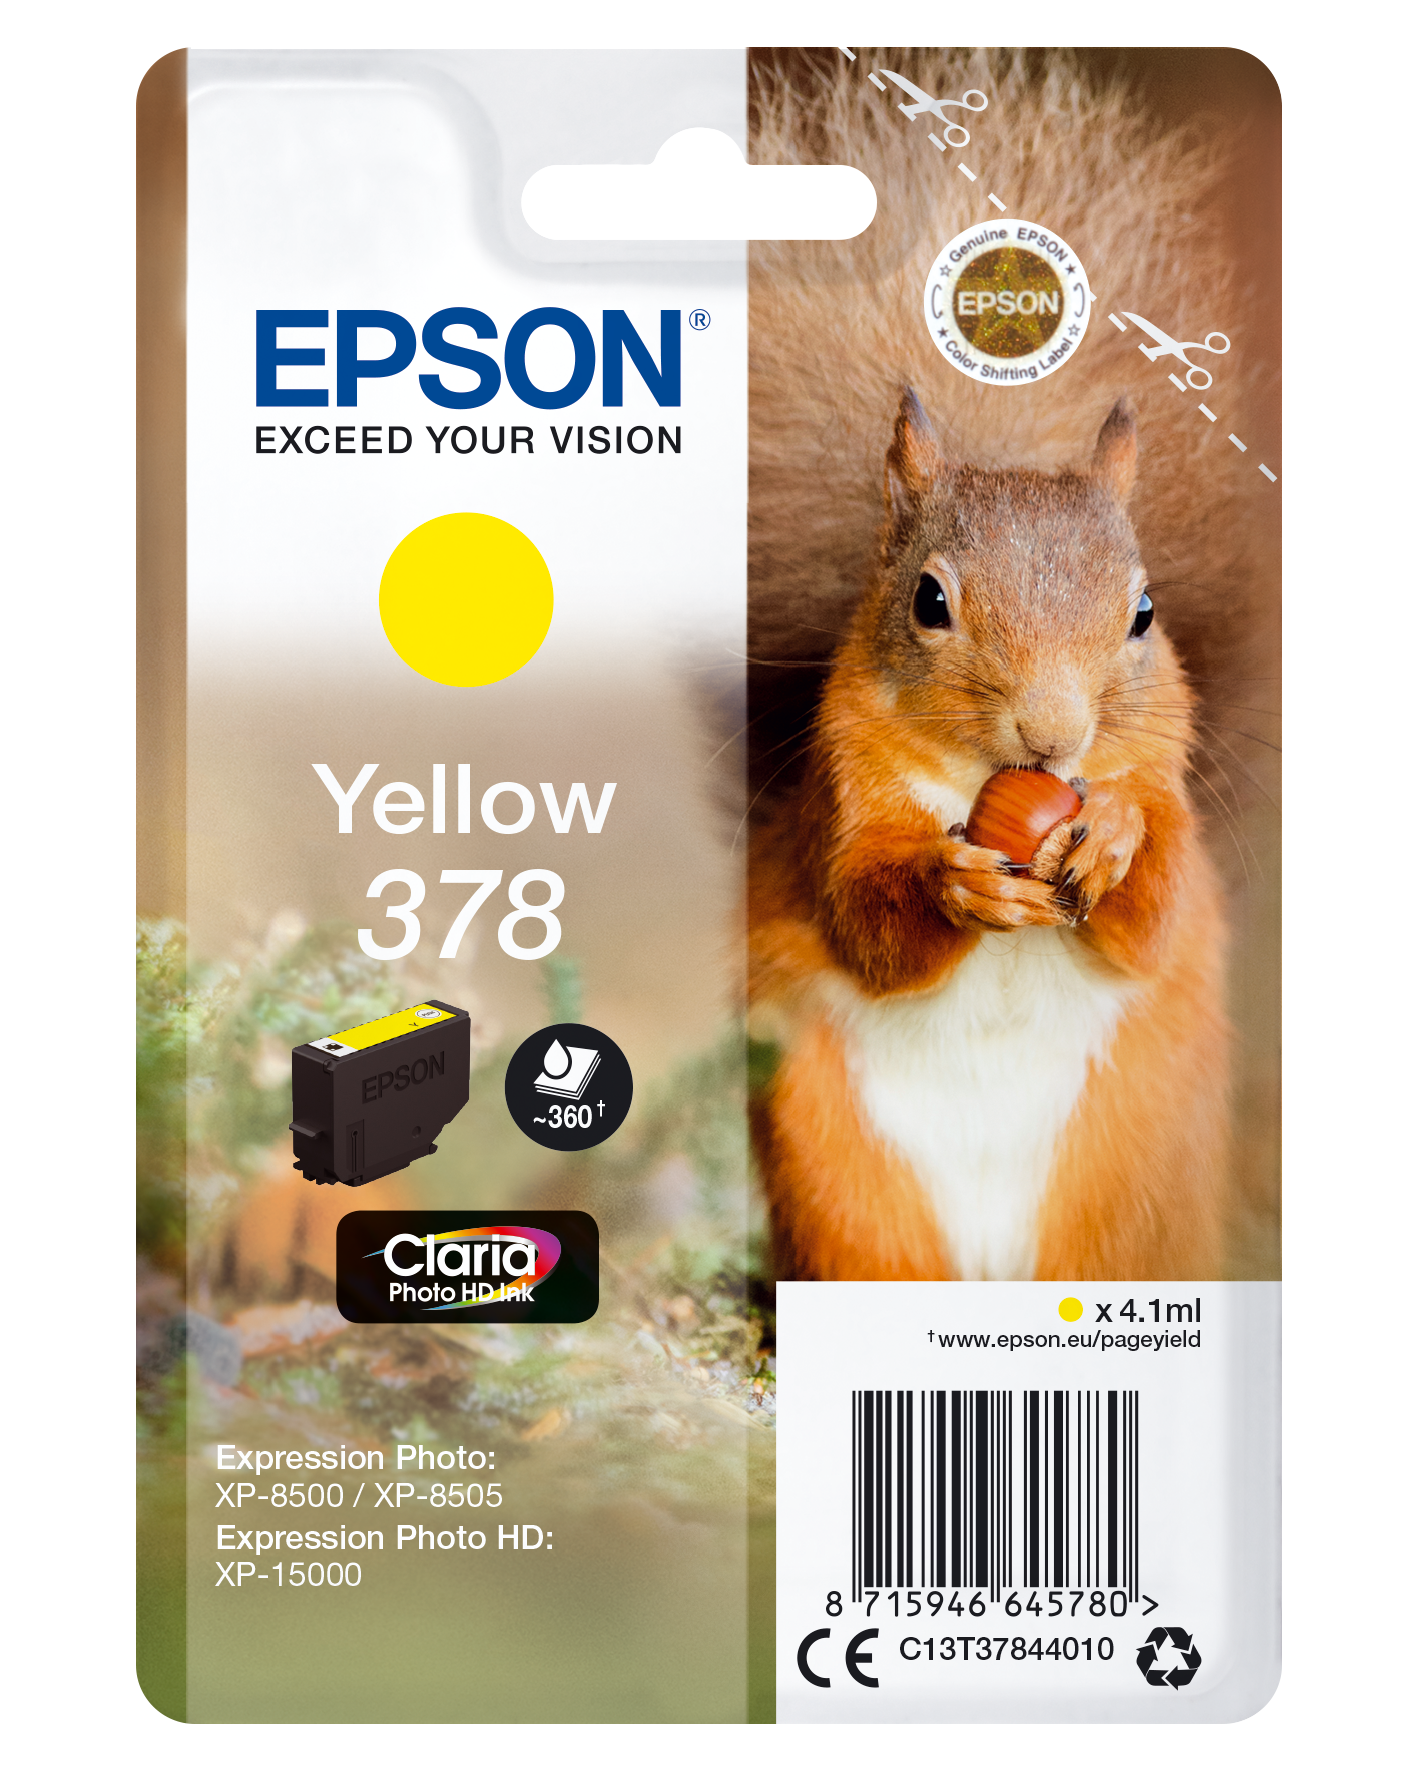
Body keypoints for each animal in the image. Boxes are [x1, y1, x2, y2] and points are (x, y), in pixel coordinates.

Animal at [745, 49, 1277, 1282]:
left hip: (1131, 1184)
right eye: (928, 601)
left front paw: (1114, 837)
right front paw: (958, 883)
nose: (1053, 735)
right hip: (839, 1177)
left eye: (1143, 613)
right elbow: (865, 917)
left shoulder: (1168, 790)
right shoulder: (841, 802)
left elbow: (1155, 910)